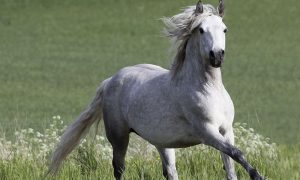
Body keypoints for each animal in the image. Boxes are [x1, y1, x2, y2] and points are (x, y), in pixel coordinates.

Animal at [48, 0, 264, 179]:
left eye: (225, 30)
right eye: (201, 30)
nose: (217, 56)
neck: (207, 88)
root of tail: (110, 80)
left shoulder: (226, 130)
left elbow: (231, 167)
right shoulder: (206, 132)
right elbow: (237, 153)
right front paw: (258, 176)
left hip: (163, 144)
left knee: (170, 172)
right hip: (119, 137)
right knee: (119, 168)